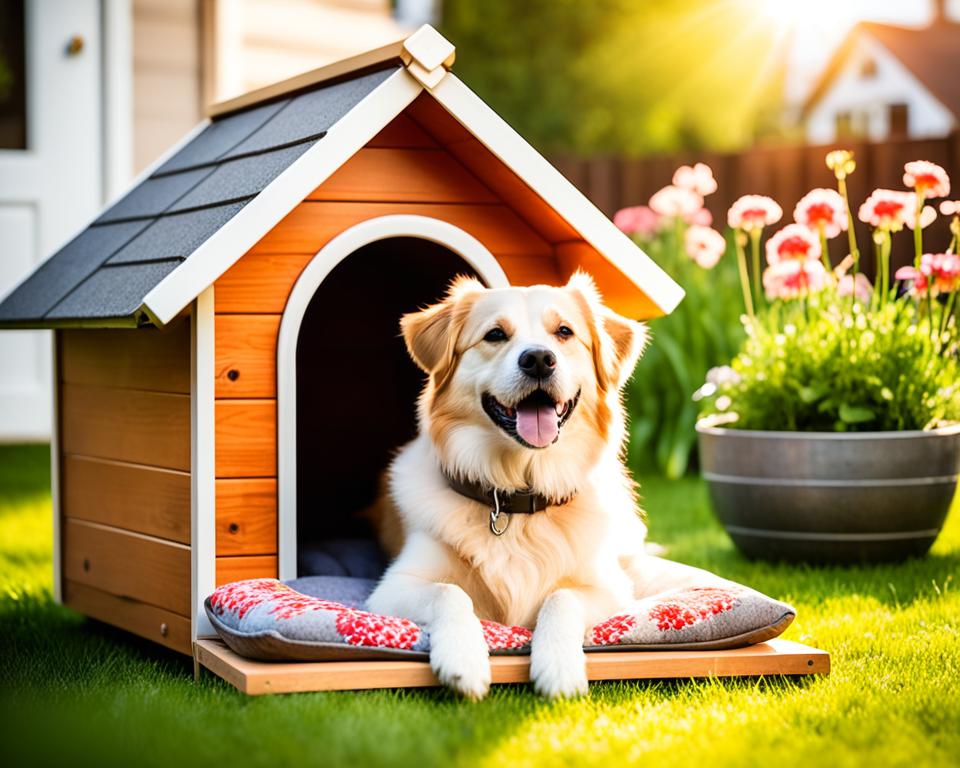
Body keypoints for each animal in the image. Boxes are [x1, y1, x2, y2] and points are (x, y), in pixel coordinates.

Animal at [368, 272, 720, 700]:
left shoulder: (608, 588)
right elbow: (450, 592)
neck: (517, 494)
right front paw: (463, 660)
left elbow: (561, 596)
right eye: (495, 334)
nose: (538, 359)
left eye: (564, 332)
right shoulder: (392, 588)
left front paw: (558, 667)